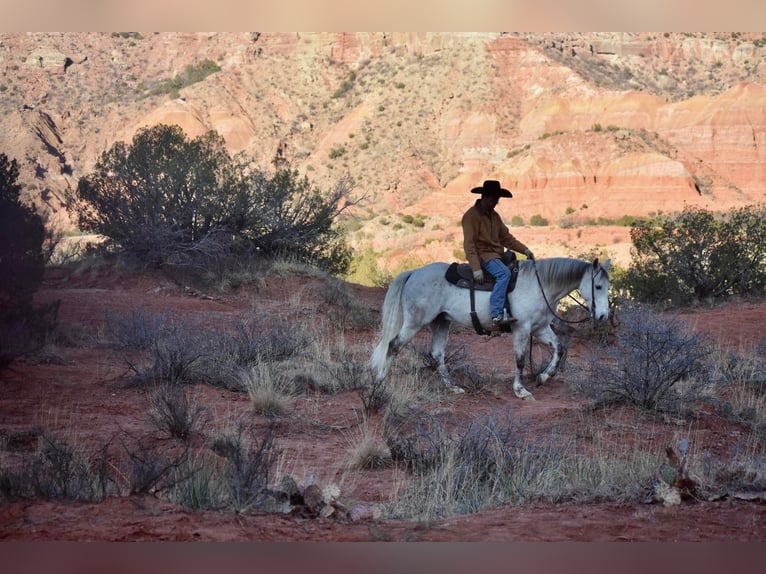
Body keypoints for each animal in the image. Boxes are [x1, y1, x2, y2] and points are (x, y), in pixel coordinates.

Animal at [372, 260, 612, 400]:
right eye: (598, 286)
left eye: (608, 286)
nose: (603, 316)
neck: (540, 285)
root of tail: (414, 273)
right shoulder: (521, 328)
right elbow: (520, 360)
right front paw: (520, 390)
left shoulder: (540, 328)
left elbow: (559, 349)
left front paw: (544, 377)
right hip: (415, 322)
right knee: (393, 345)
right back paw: (380, 382)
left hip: (441, 322)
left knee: (437, 354)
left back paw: (452, 387)